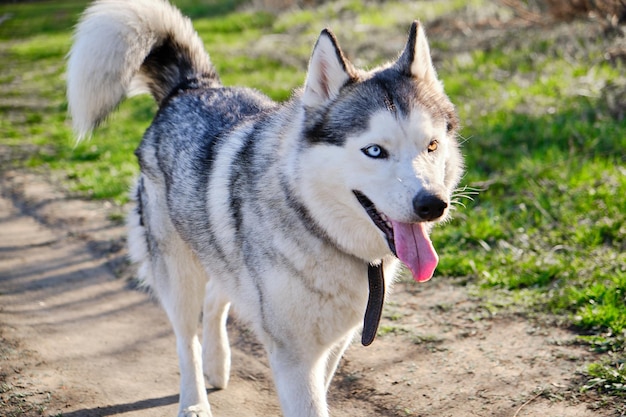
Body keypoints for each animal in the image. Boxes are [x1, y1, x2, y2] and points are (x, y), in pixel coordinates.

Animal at [67, 1, 464, 414]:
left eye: (432, 145)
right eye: (374, 151)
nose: (433, 204)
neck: (319, 228)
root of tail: (192, 86)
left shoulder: (331, 346)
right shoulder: (295, 358)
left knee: (215, 299)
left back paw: (216, 366)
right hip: (178, 273)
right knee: (184, 338)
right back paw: (194, 401)